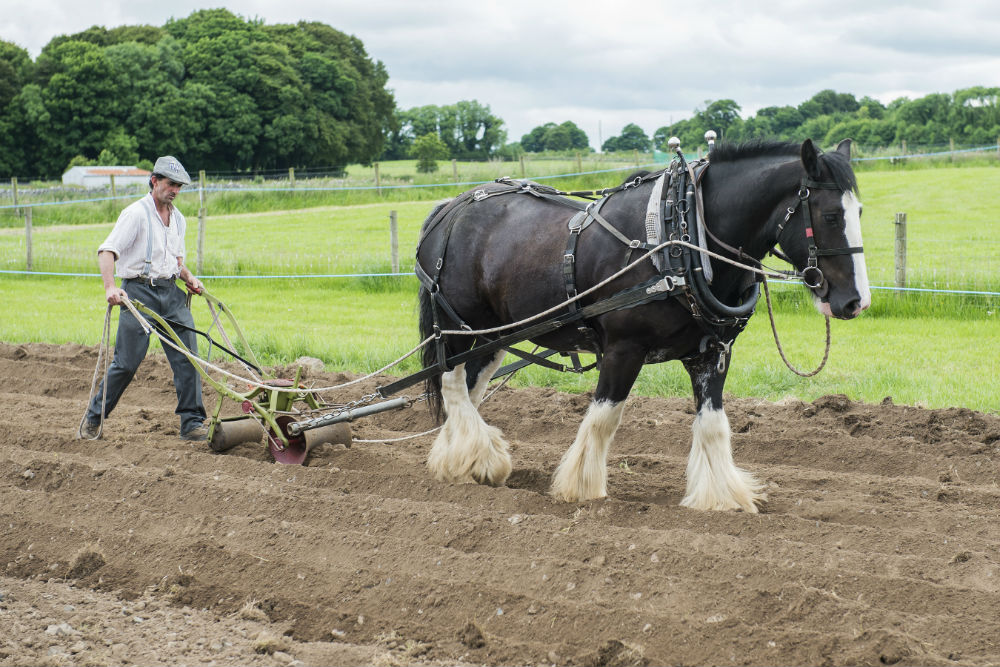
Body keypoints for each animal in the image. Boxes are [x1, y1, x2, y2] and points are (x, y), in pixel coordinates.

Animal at [412, 140, 868, 512]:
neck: (682, 238)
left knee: (470, 389)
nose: (855, 301)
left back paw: (458, 460)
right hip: (460, 330)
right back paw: (478, 460)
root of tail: (449, 207)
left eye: (859, 211)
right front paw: (581, 489)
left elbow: (713, 424)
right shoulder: (623, 349)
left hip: (493, 337)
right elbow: (604, 417)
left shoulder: (712, 353)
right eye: (830, 215)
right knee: (453, 385)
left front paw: (721, 497)